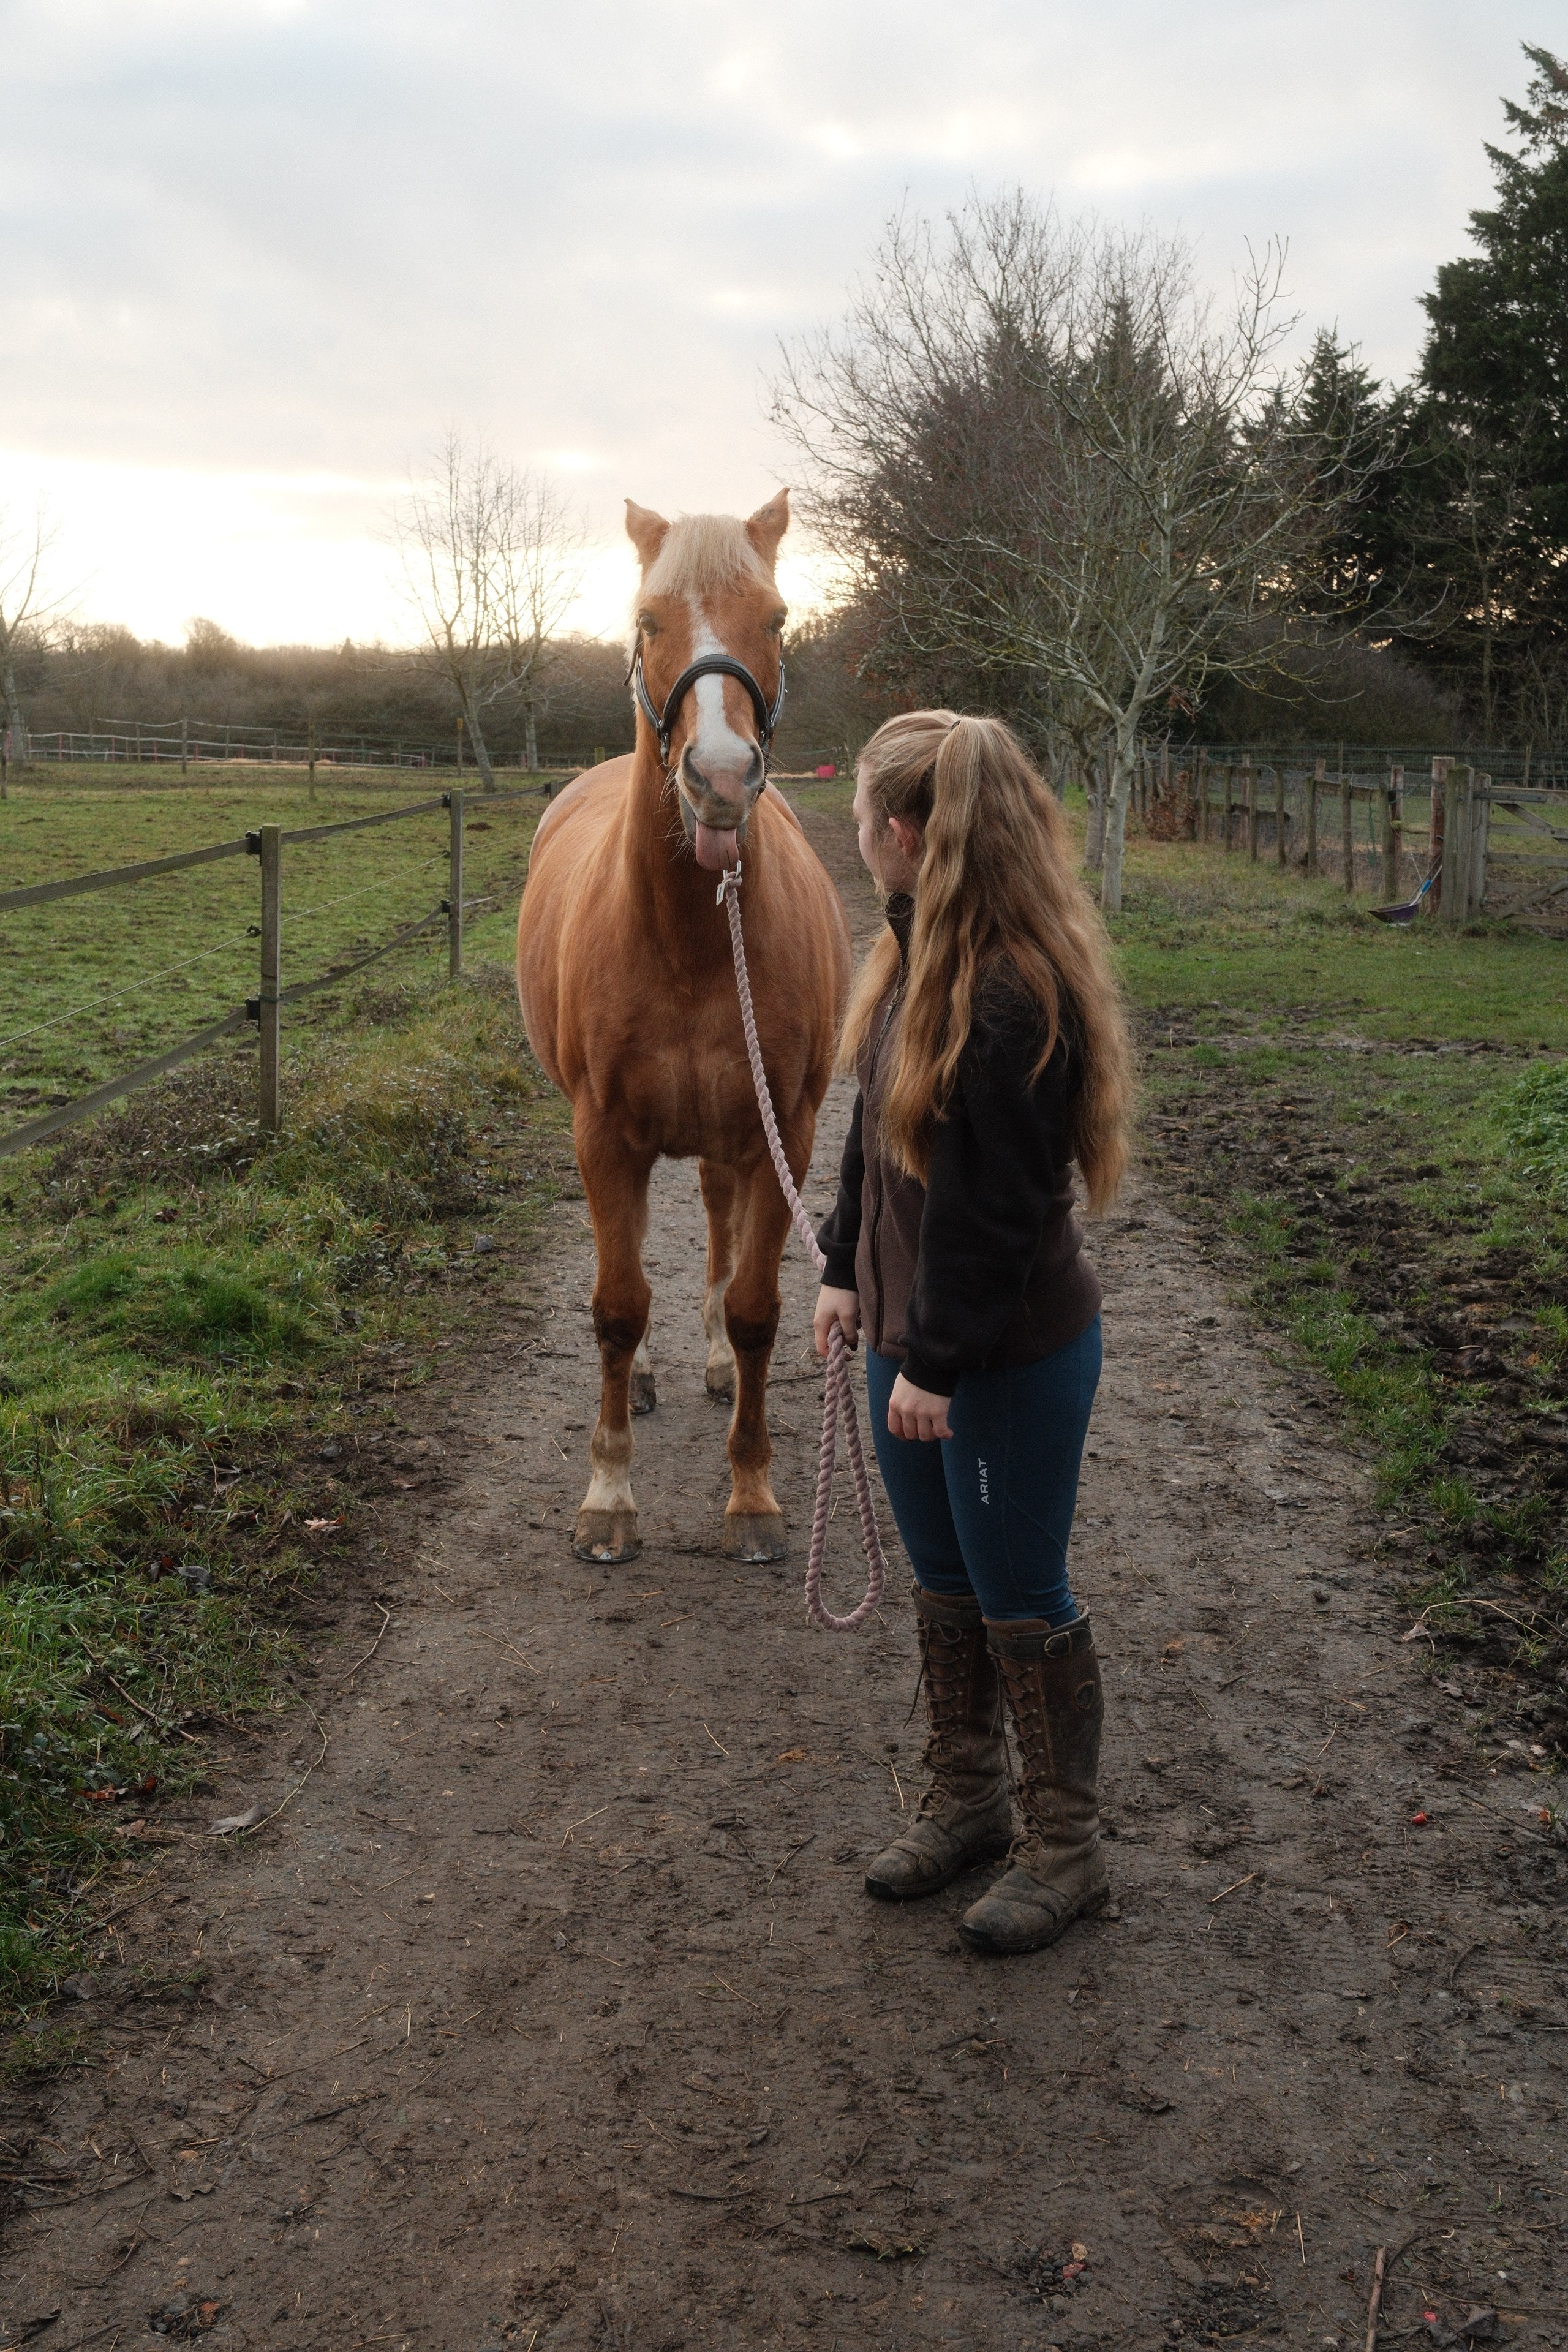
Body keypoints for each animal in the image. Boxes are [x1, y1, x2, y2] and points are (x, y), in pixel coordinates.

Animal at [516, 491, 851, 1565]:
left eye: (778, 621)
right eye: (649, 621)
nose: (720, 778)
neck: (692, 940)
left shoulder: (782, 1131)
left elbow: (754, 1309)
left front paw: (752, 1494)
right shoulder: (603, 1135)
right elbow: (618, 1308)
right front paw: (609, 1495)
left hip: (729, 1135)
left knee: (712, 1222)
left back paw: (704, 1361)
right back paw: (660, 1375)